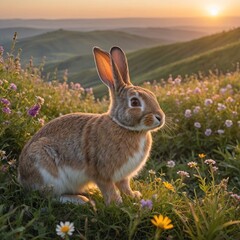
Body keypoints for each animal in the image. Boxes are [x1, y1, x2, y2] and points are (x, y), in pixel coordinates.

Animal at [17, 46, 165, 205]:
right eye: (135, 102)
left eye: (152, 95)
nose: (160, 118)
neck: (125, 127)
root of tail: (23, 178)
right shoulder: (101, 173)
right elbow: (109, 188)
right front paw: (116, 203)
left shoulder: (123, 176)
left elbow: (124, 186)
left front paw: (134, 196)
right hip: (46, 170)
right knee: (50, 195)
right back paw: (82, 200)